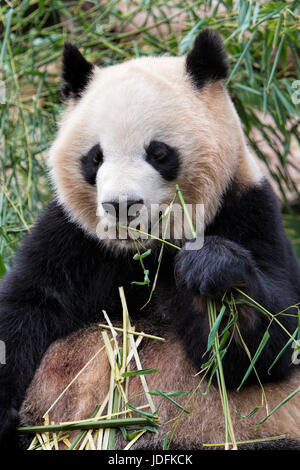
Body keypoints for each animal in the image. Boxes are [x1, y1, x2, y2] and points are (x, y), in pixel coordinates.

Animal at [0, 30, 300, 452]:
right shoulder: (70, 238)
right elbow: (24, 310)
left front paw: (209, 269)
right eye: (95, 157)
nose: (121, 205)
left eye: (158, 153)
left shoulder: (247, 209)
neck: (140, 253)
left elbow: (261, 352)